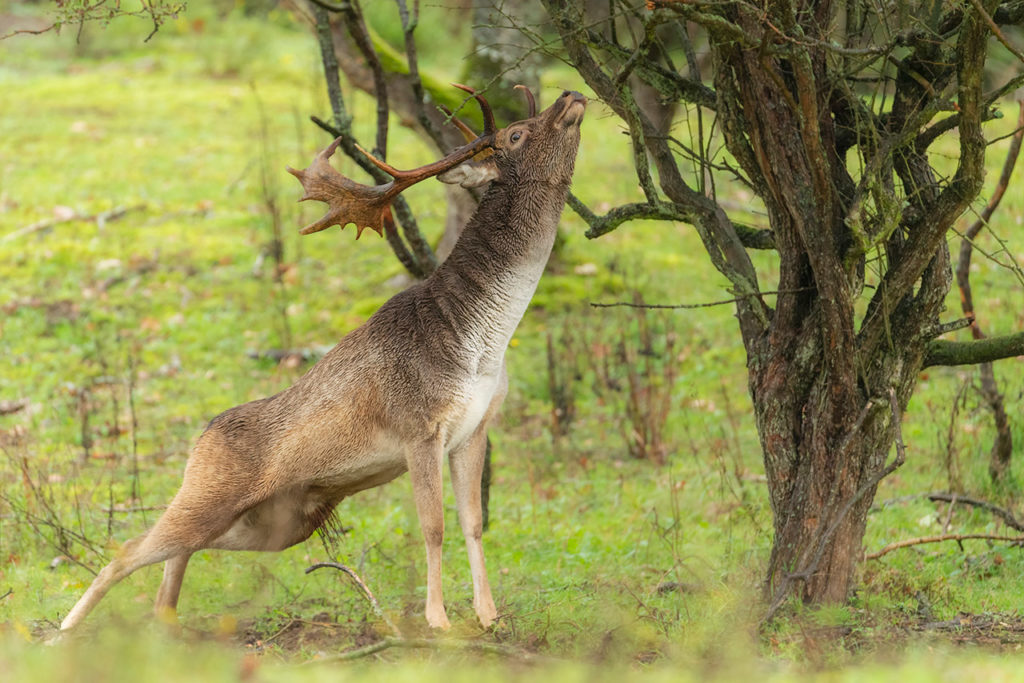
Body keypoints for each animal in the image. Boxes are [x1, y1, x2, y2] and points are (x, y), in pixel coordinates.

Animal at [59, 87, 589, 634]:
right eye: (517, 133)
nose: (571, 95)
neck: (481, 344)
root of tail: (199, 439)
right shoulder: (418, 425)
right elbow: (433, 526)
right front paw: (438, 622)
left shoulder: (476, 427)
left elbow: (475, 523)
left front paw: (489, 617)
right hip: (212, 493)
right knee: (128, 549)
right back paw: (63, 631)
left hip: (278, 523)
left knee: (176, 549)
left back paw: (163, 622)